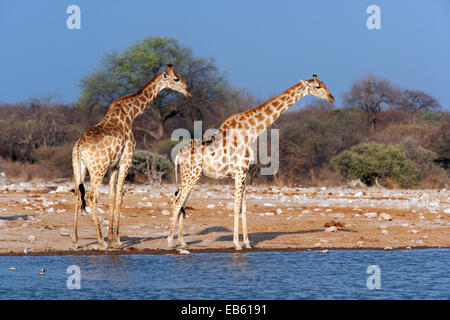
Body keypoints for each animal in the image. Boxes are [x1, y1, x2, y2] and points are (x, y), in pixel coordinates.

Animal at [71, 64, 190, 250]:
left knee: (77, 195)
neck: (131, 114)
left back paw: (76, 240)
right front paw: (116, 240)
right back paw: (100, 241)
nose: (188, 91)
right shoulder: (126, 160)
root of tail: (80, 147)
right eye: (176, 79)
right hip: (98, 169)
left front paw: (112, 238)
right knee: (91, 196)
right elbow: (120, 196)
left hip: (79, 168)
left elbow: (112, 197)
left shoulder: (113, 165)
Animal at [168, 74, 334, 249]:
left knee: (182, 203)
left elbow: (244, 208)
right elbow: (236, 207)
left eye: (324, 84)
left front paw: (247, 243)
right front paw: (236, 244)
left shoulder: (245, 173)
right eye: (318, 87)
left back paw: (182, 242)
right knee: (177, 202)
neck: (250, 131)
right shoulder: (240, 171)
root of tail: (179, 154)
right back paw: (170, 242)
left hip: (189, 176)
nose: (331, 98)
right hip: (190, 175)